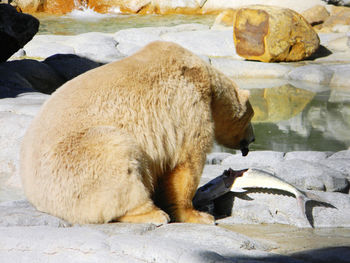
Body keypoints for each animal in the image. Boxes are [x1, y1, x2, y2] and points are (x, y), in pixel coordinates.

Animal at [19, 41, 254, 225]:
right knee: (119, 158)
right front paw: (198, 215)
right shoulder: (187, 103)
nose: (251, 140)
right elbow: (186, 161)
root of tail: (36, 195)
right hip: (77, 160)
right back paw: (152, 213)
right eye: (250, 118)